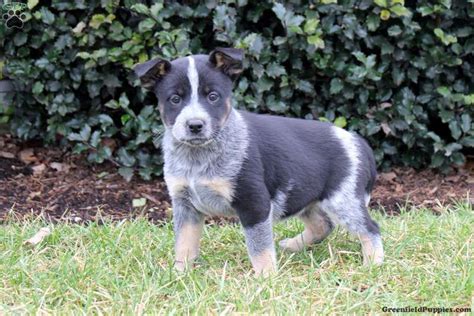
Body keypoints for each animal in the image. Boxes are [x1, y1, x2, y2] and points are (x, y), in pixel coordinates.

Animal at [131, 47, 384, 276]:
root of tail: (359, 142)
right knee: (323, 225)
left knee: (371, 229)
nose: (195, 125)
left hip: (342, 200)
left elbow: (260, 248)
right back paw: (292, 245)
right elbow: (184, 244)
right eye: (175, 99)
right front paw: (179, 274)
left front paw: (266, 279)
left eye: (213, 96)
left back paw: (373, 264)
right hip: (303, 196)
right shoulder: (185, 205)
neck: (198, 158)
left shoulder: (254, 203)